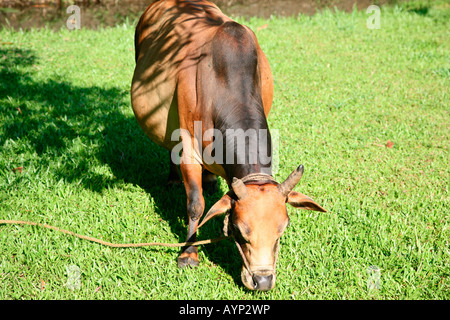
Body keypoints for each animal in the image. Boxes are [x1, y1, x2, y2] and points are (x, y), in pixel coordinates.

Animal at [132, 0, 326, 292]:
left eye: (281, 231)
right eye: (240, 231)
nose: (263, 280)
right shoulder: (189, 146)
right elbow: (196, 204)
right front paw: (188, 253)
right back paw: (172, 179)